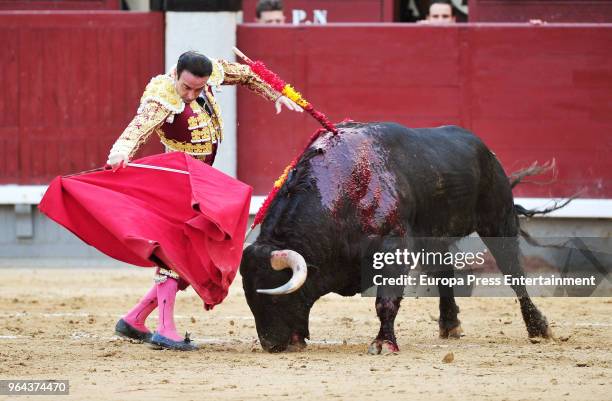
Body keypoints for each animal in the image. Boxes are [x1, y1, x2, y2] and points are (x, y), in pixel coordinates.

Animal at [240, 120, 556, 352]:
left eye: (276, 298)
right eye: (250, 300)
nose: (270, 345)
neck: (339, 191)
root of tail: (484, 150)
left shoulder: (393, 249)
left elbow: (386, 301)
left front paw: (383, 344)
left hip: (498, 220)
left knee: (514, 273)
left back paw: (538, 328)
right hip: (435, 238)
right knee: (444, 273)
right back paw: (449, 325)